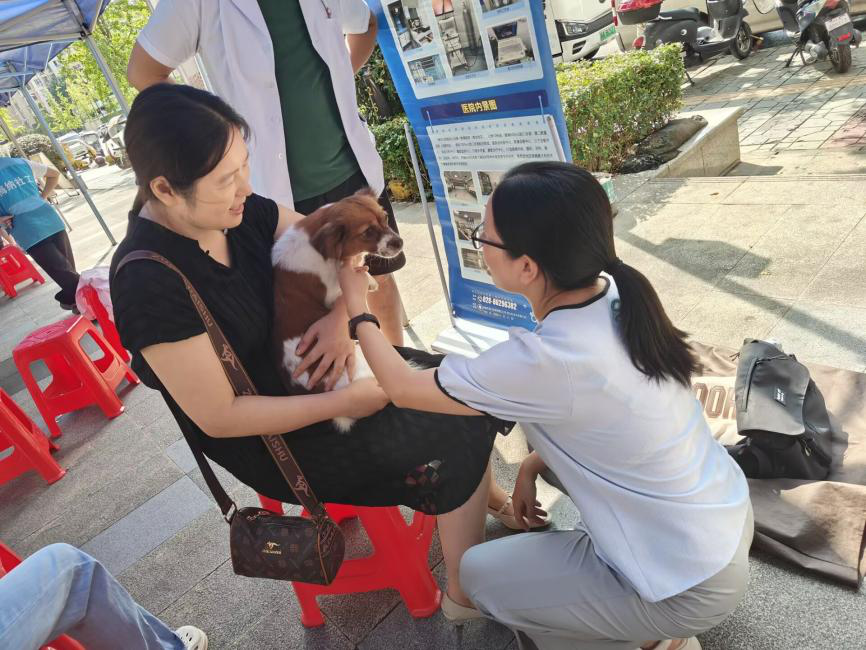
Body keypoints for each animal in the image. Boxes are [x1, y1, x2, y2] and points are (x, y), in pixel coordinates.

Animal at [272, 188, 403, 431]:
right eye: (367, 232)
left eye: (385, 218)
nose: (399, 242)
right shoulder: (334, 291)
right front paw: (367, 280)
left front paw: (370, 280)